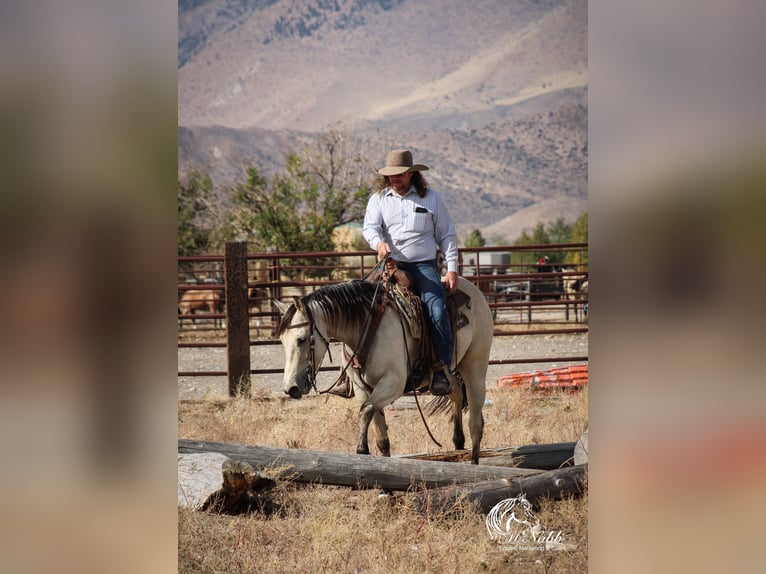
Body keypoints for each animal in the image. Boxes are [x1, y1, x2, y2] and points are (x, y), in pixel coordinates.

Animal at [272, 276, 496, 466]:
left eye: (301, 339)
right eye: (281, 340)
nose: (290, 388)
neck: (366, 327)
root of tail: (473, 289)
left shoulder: (392, 384)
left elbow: (366, 410)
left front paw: (362, 449)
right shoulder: (364, 388)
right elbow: (380, 434)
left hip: (475, 367)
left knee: (476, 422)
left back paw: (474, 463)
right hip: (448, 370)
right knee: (455, 391)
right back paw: (458, 443)